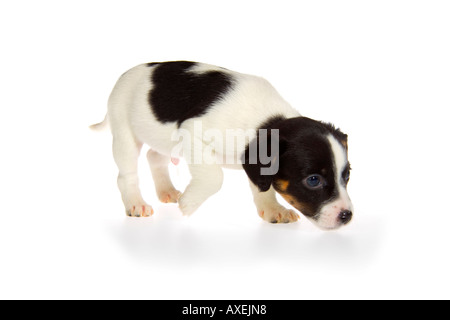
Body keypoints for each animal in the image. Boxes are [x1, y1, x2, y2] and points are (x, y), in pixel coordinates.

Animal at [90, 60, 352, 230]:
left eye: (346, 176)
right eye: (313, 180)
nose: (347, 216)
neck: (269, 121)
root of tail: (124, 75)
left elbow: (262, 186)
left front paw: (272, 209)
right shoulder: (192, 132)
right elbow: (215, 177)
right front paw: (189, 203)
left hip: (161, 137)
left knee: (154, 156)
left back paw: (167, 191)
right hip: (125, 134)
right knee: (126, 175)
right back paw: (136, 203)